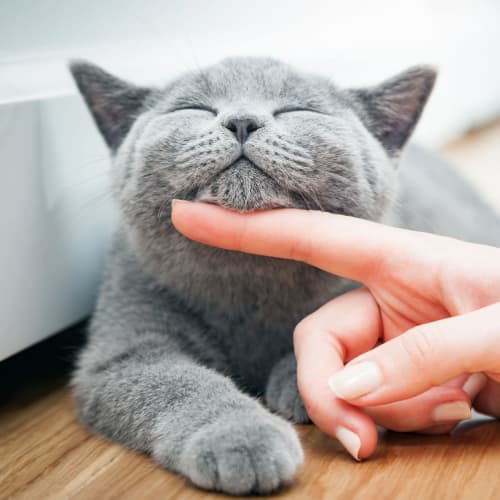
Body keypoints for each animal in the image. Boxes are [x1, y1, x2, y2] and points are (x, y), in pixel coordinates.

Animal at [69, 56, 500, 494]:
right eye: (193, 108)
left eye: (297, 110)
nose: (242, 120)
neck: (246, 278)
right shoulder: (124, 348)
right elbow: (176, 383)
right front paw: (241, 437)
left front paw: (299, 382)